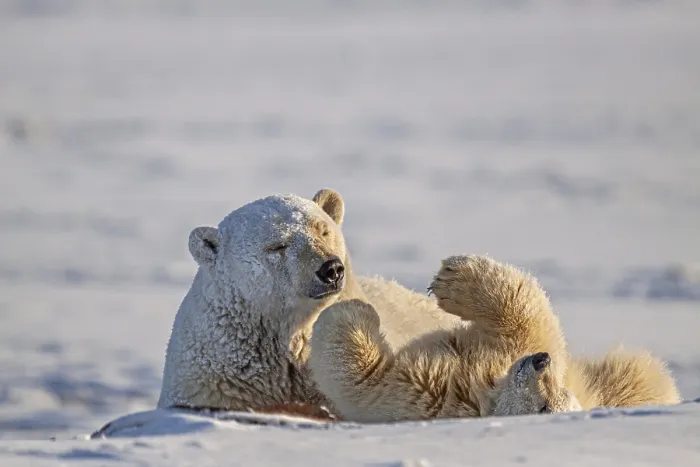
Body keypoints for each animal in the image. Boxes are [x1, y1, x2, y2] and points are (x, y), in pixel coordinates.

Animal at [308, 255, 681, 423]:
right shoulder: (511, 351)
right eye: (557, 388)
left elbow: (365, 378)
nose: (540, 362)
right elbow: (525, 313)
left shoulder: (428, 396)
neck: (485, 388)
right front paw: (451, 276)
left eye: (546, 407)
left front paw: (355, 310)